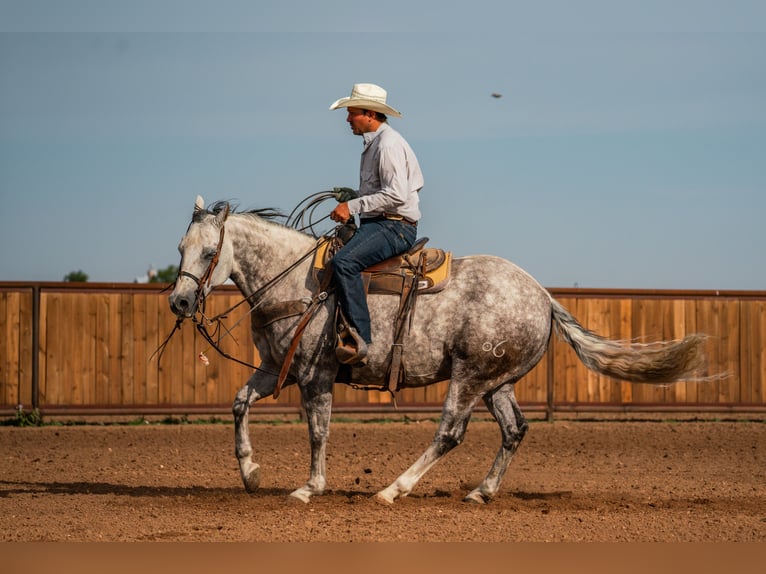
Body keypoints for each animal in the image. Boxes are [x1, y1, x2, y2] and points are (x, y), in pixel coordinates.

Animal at [168, 196, 708, 504]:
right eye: (179, 248)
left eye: (209, 251)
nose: (179, 301)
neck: (298, 280)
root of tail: (542, 296)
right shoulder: (275, 367)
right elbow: (239, 404)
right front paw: (250, 473)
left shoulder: (314, 375)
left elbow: (318, 431)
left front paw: (308, 488)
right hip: (496, 383)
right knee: (514, 430)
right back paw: (481, 492)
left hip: (469, 376)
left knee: (449, 432)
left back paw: (394, 489)